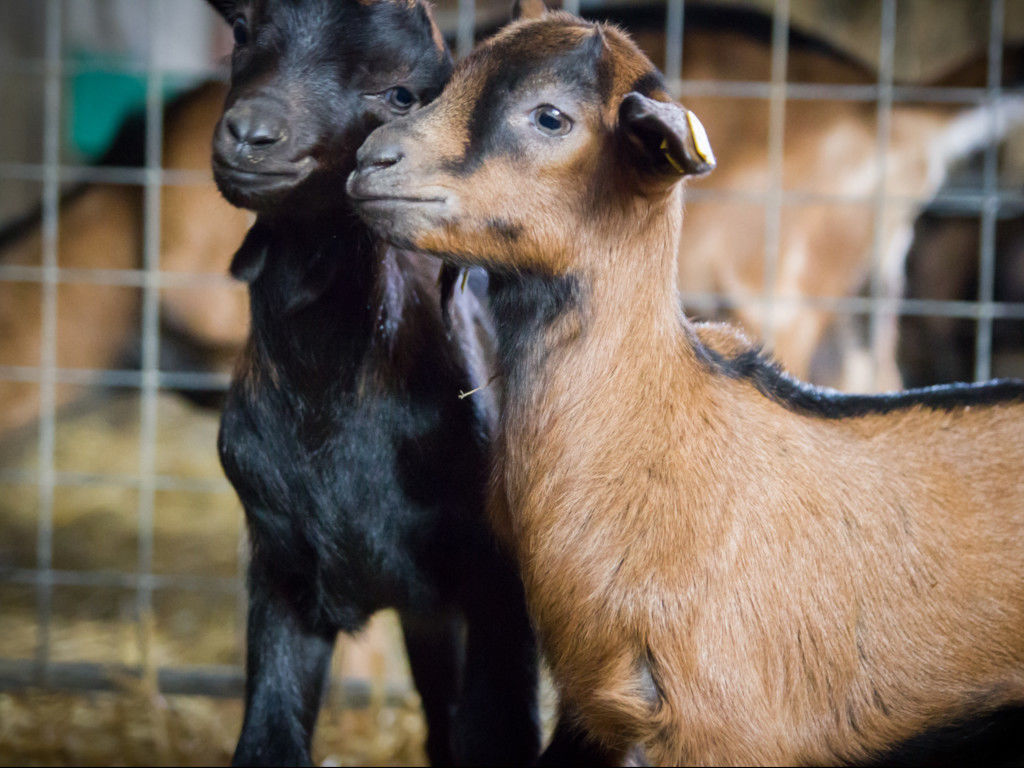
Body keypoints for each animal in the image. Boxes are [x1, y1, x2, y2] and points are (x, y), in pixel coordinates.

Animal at [206, 0, 544, 765]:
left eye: (400, 94)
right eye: (242, 32)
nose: (253, 134)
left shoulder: (495, 585)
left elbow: (495, 732)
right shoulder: (282, 566)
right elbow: (268, 736)